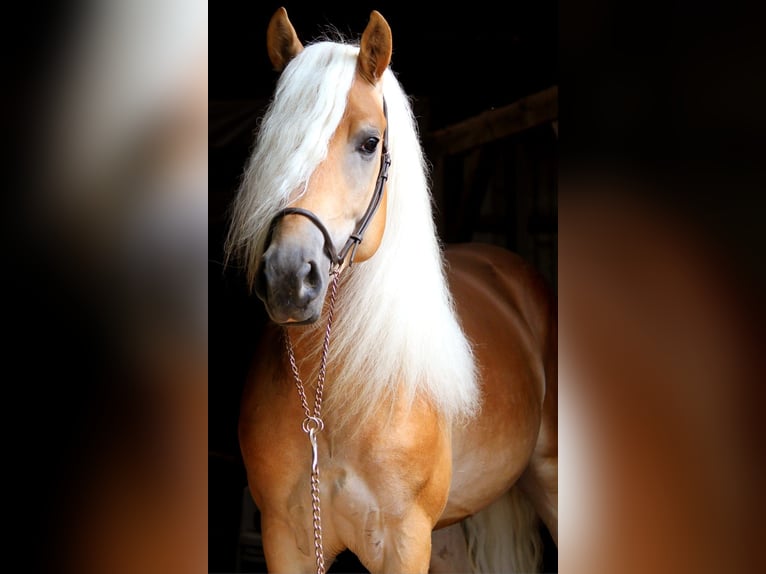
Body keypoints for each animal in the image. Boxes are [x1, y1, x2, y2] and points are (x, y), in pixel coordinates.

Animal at [226, 7, 560, 574]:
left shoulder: (405, 540)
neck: (332, 398)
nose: (290, 278)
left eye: (369, 143)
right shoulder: (286, 538)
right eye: (270, 143)